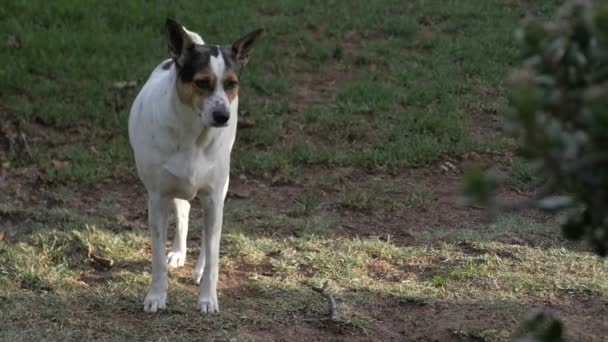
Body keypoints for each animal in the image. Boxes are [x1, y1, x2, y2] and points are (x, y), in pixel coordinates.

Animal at [128, 18, 262, 312]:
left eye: (231, 83)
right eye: (201, 83)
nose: (222, 116)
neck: (193, 134)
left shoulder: (213, 195)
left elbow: (213, 252)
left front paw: (208, 298)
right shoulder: (157, 197)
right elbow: (157, 254)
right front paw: (156, 295)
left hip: (219, 189)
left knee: (208, 234)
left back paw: (198, 267)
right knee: (184, 210)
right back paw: (178, 252)